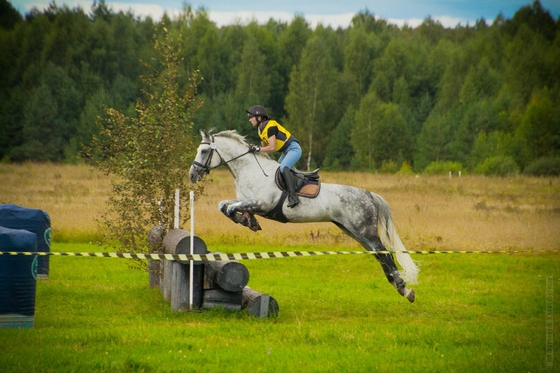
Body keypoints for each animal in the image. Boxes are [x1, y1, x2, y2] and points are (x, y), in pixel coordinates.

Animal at [190, 129, 418, 300]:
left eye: (204, 151)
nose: (192, 175)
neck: (250, 171)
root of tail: (369, 194)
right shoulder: (245, 201)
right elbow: (224, 205)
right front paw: (248, 221)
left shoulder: (262, 204)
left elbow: (230, 208)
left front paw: (247, 220)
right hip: (354, 232)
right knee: (380, 255)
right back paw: (401, 287)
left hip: (365, 231)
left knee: (385, 253)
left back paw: (404, 289)